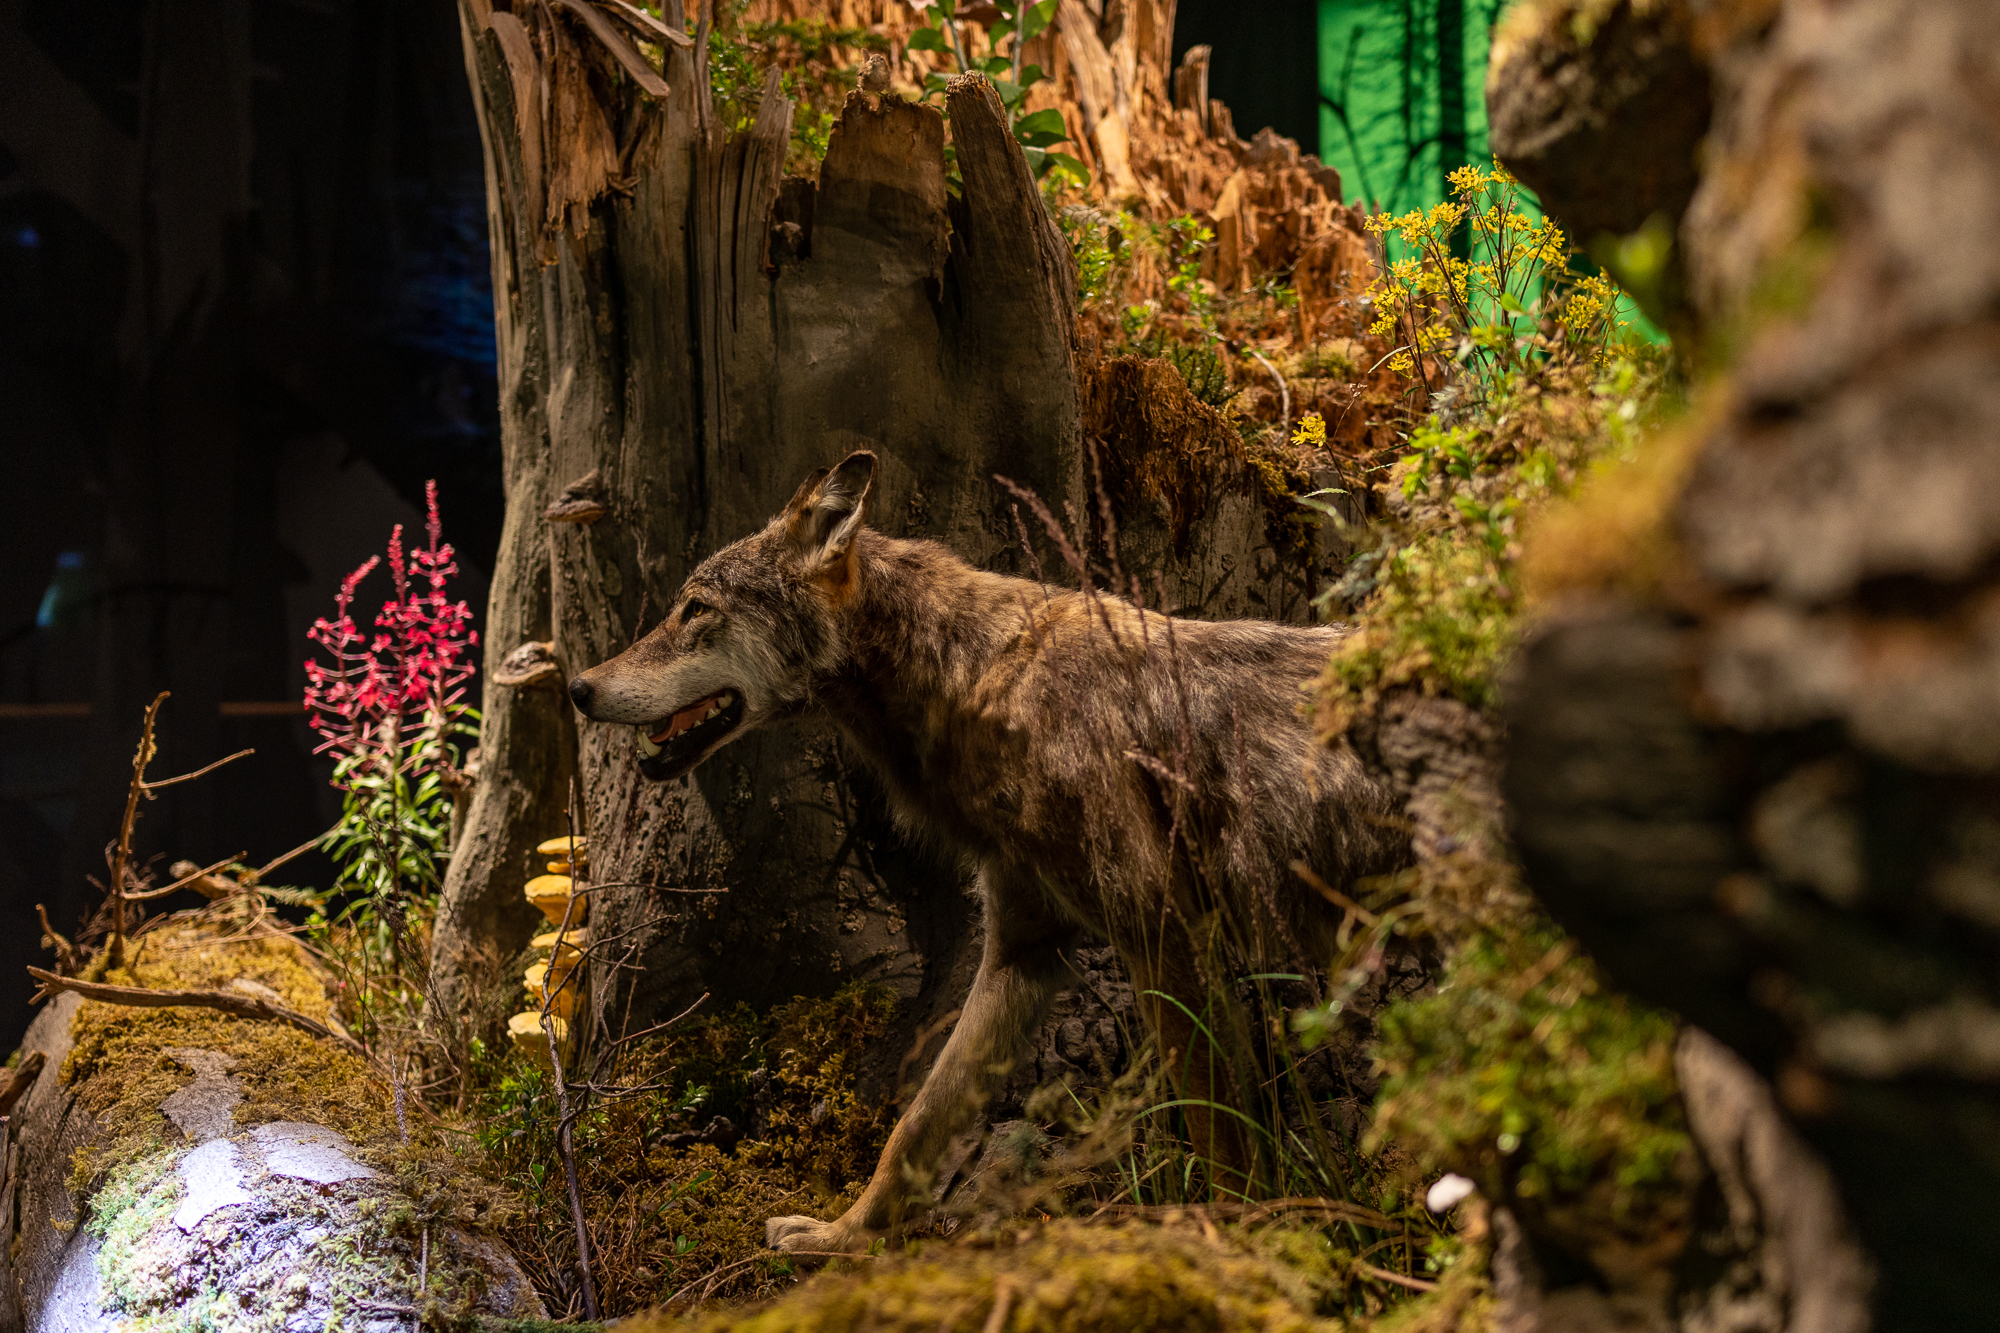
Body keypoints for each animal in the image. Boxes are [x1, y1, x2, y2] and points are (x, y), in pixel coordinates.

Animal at [567, 451, 1408, 1255]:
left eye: (695, 609)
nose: (577, 686)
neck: (976, 678)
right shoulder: (1021, 951)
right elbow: (917, 1121)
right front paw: (843, 1235)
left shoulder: (1163, 930)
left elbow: (1222, 1128)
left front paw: (1239, 1235)